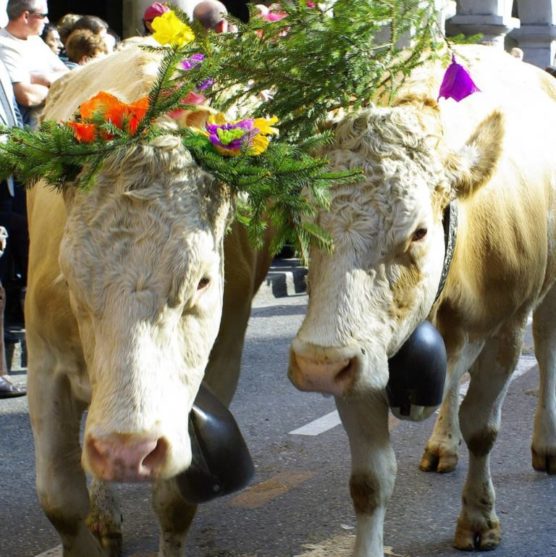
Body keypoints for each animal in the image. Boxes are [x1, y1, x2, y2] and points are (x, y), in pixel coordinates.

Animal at [26, 44, 274, 556]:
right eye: (71, 279)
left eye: (202, 282)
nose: (127, 450)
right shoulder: (43, 364)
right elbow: (60, 502)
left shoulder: (221, 363)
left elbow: (175, 503)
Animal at [288, 44, 556, 556]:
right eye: (303, 222)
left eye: (418, 231)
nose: (316, 365)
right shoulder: (360, 354)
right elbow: (370, 480)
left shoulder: (506, 331)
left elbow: (483, 429)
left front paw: (478, 517)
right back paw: (441, 444)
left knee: (548, 351)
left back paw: (546, 445)